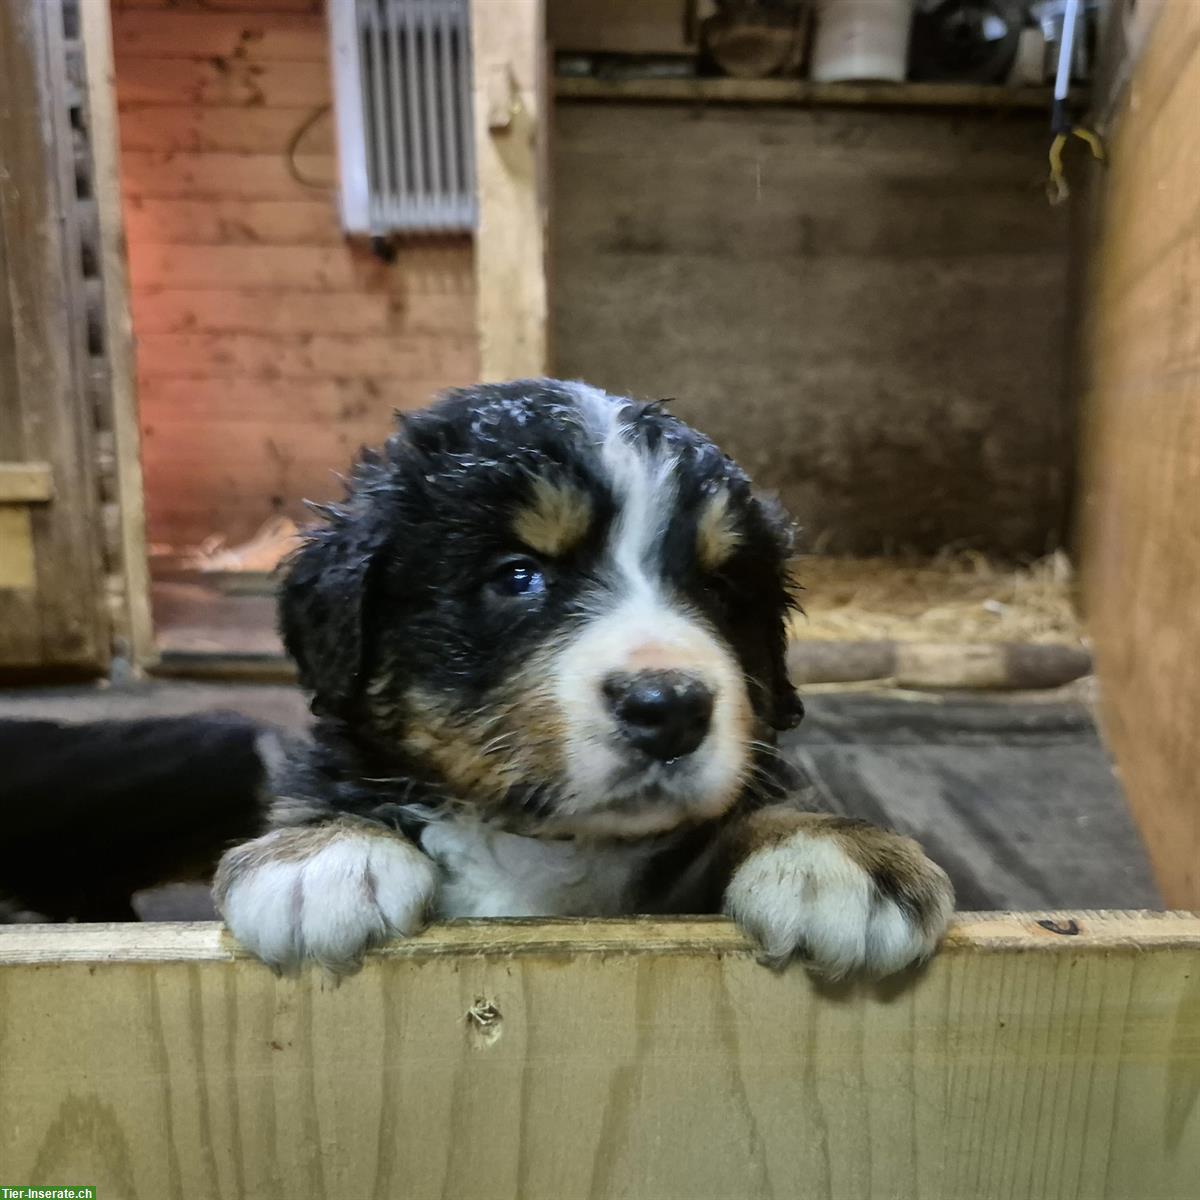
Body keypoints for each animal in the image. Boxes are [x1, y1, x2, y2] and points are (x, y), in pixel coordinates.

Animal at [213, 379, 955, 979]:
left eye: (717, 590)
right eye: (518, 575)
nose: (671, 709)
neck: (544, 848)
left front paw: (832, 851)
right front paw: (322, 856)